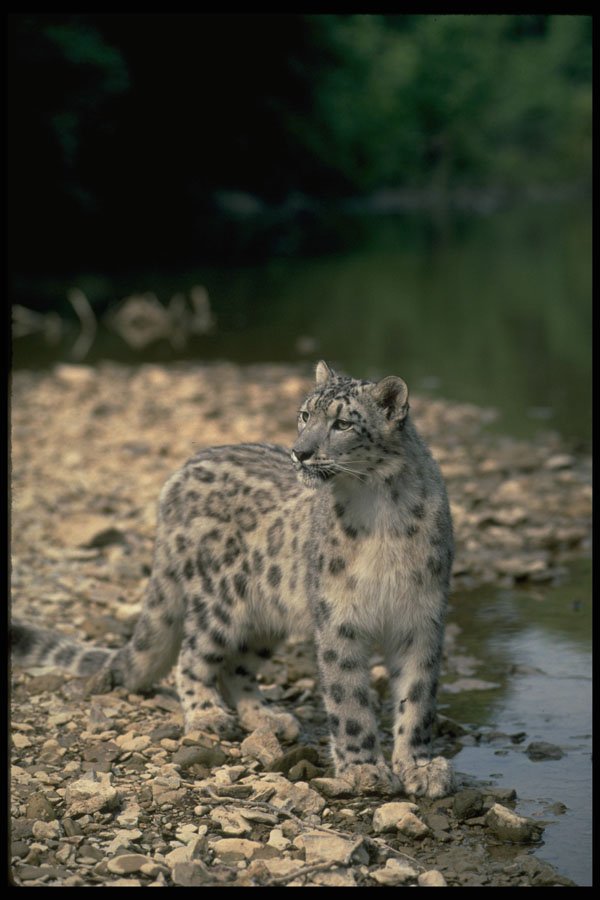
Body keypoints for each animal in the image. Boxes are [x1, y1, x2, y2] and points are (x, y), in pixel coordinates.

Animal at [12, 360, 455, 798]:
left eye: (343, 423)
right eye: (304, 415)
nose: (300, 452)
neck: (381, 513)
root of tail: (178, 475)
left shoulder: (422, 618)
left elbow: (417, 698)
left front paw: (420, 767)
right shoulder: (339, 618)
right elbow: (349, 699)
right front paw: (365, 769)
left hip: (267, 613)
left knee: (237, 664)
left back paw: (267, 717)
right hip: (220, 600)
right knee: (193, 656)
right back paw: (208, 715)